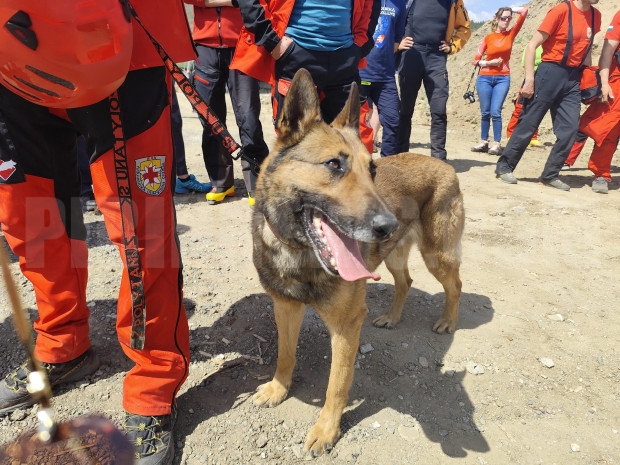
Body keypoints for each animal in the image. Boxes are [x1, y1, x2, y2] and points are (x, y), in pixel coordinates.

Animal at [249, 70, 462, 456]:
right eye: (334, 164)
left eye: (372, 169)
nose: (387, 224)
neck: (300, 251)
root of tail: (445, 164)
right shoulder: (285, 307)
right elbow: (285, 354)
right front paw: (278, 389)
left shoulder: (346, 325)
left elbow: (337, 384)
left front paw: (326, 430)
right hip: (394, 255)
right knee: (406, 282)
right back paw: (392, 317)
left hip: (436, 255)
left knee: (455, 285)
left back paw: (448, 322)